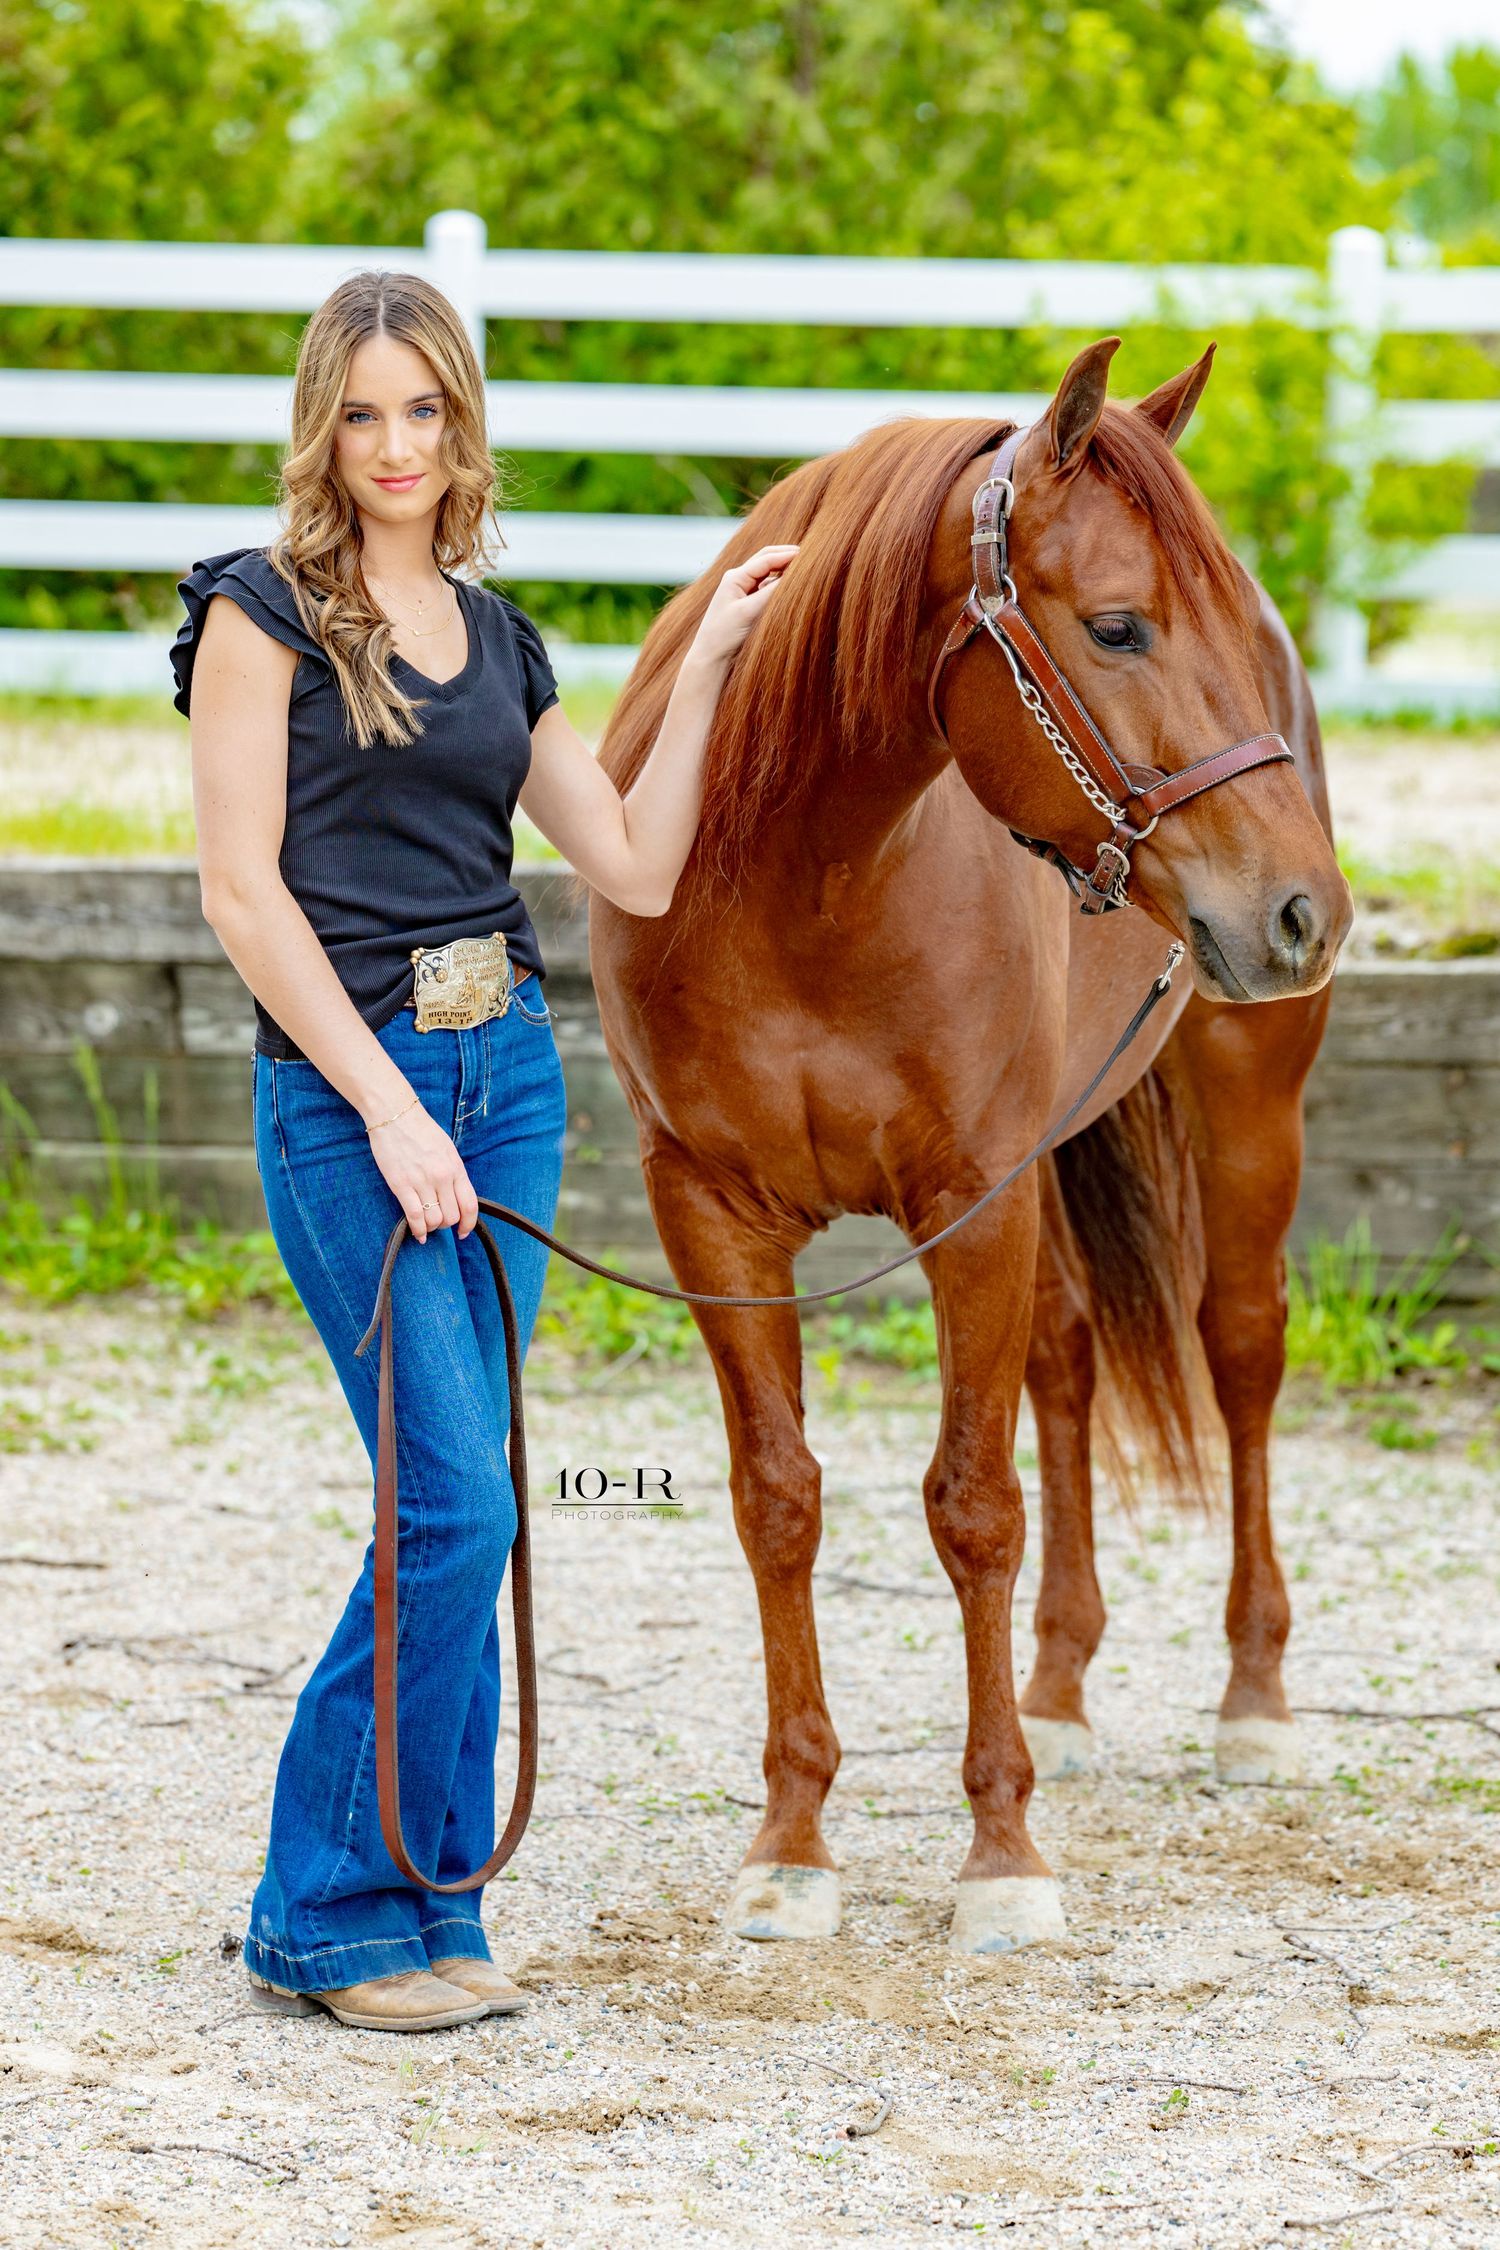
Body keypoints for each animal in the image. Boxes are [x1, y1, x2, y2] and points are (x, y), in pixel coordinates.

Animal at [578, 336, 1353, 1955]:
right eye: (1117, 626)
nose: (1305, 912)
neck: (799, 875)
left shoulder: (970, 1207)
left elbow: (973, 1507)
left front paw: (1001, 1852)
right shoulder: (712, 1215)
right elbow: (780, 1500)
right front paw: (794, 1839)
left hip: (1246, 1098)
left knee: (1240, 1347)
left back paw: (1254, 1699)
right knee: (1064, 1360)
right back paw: (1058, 1689)